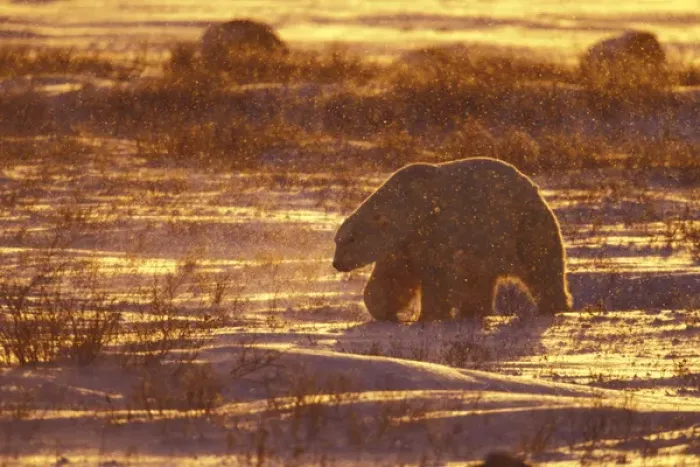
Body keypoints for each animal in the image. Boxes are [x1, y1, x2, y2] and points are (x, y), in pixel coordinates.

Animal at [332, 158, 571, 321]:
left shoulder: (433, 230)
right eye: (338, 240)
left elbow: (436, 276)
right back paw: (474, 312)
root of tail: (536, 191)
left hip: (523, 226)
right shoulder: (404, 244)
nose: (336, 264)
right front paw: (387, 311)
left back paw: (556, 306)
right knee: (480, 280)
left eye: (350, 239)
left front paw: (429, 315)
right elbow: (392, 275)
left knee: (541, 267)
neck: (409, 206)